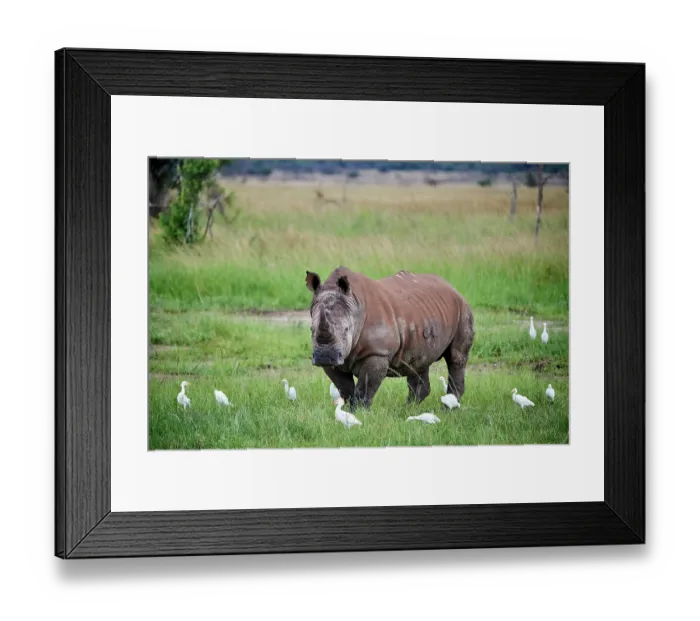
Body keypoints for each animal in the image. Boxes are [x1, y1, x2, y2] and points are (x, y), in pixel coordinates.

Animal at [305, 266, 475, 411]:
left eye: (347, 330)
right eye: (311, 330)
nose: (325, 357)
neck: (354, 306)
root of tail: (452, 287)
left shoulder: (378, 353)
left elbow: (364, 389)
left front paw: (359, 414)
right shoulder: (335, 360)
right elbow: (345, 389)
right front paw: (348, 412)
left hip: (462, 308)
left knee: (456, 358)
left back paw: (447, 409)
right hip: (422, 314)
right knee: (419, 361)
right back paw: (407, 409)